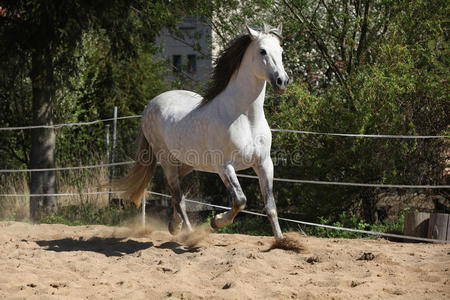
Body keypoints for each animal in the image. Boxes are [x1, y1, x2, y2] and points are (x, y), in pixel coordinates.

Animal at [117, 23, 288, 240]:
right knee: (179, 198)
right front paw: (216, 221)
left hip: (189, 162)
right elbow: (240, 200)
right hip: (167, 160)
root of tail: (150, 105)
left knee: (176, 193)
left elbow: (271, 206)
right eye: (262, 51)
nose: (282, 81)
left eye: (281, 52)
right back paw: (187, 234)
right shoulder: (224, 166)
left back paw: (174, 226)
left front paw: (281, 241)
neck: (245, 118)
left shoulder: (264, 163)